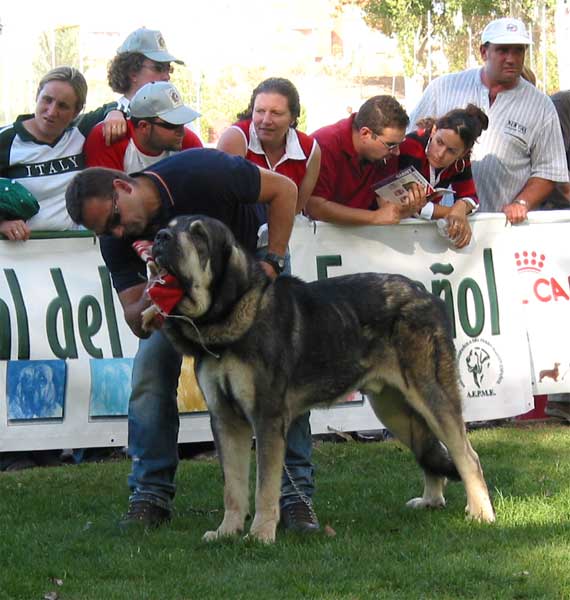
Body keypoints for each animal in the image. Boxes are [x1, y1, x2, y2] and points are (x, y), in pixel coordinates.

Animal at [151, 216, 492, 544]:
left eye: (199, 236)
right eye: (168, 227)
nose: (158, 238)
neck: (229, 320)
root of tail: (428, 296)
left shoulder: (266, 419)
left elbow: (264, 486)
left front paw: (260, 534)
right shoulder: (225, 420)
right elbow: (233, 487)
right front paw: (227, 531)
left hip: (431, 395)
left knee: (468, 457)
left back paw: (481, 512)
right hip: (394, 409)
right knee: (428, 450)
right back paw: (431, 500)